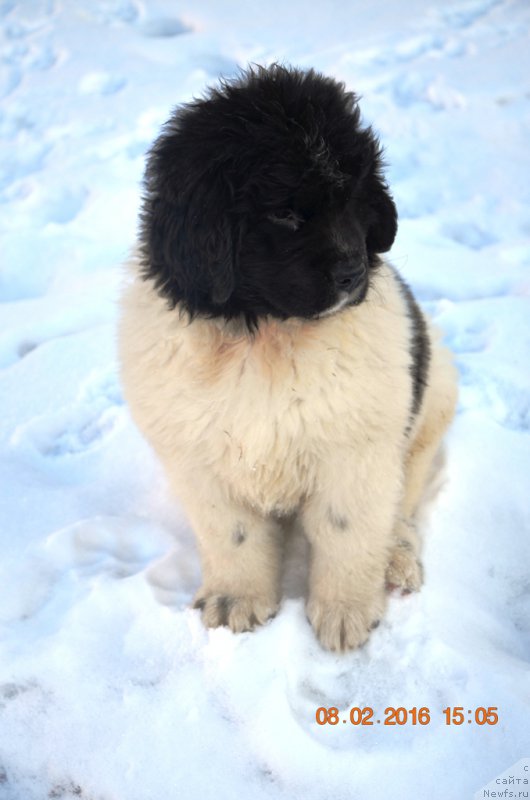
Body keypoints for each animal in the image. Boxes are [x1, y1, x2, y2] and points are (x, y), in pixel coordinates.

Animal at [117, 62, 456, 648]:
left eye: (355, 200)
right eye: (284, 213)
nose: (353, 274)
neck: (265, 337)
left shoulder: (355, 451)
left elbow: (347, 532)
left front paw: (345, 613)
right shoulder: (198, 460)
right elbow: (233, 536)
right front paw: (235, 602)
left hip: (431, 405)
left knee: (403, 500)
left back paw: (396, 557)